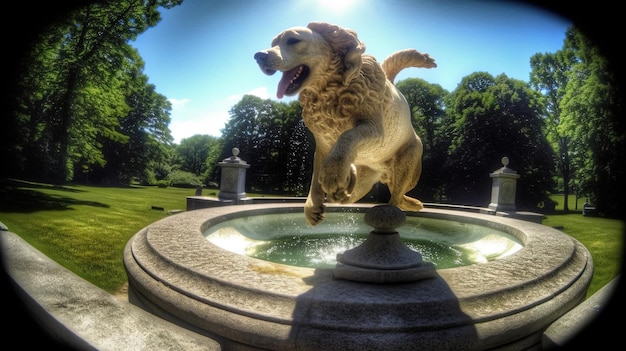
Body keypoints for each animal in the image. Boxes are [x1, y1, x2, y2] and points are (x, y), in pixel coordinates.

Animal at [254, 22, 434, 226]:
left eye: (293, 40)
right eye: (273, 43)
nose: (259, 56)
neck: (330, 90)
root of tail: (384, 173)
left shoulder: (375, 130)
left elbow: (348, 136)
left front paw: (333, 174)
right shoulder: (323, 143)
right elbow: (317, 172)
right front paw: (312, 206)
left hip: (408, 163)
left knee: (397, 195)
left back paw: (394, 207)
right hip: (365, 182)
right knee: (355, 195)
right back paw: (349, 181)